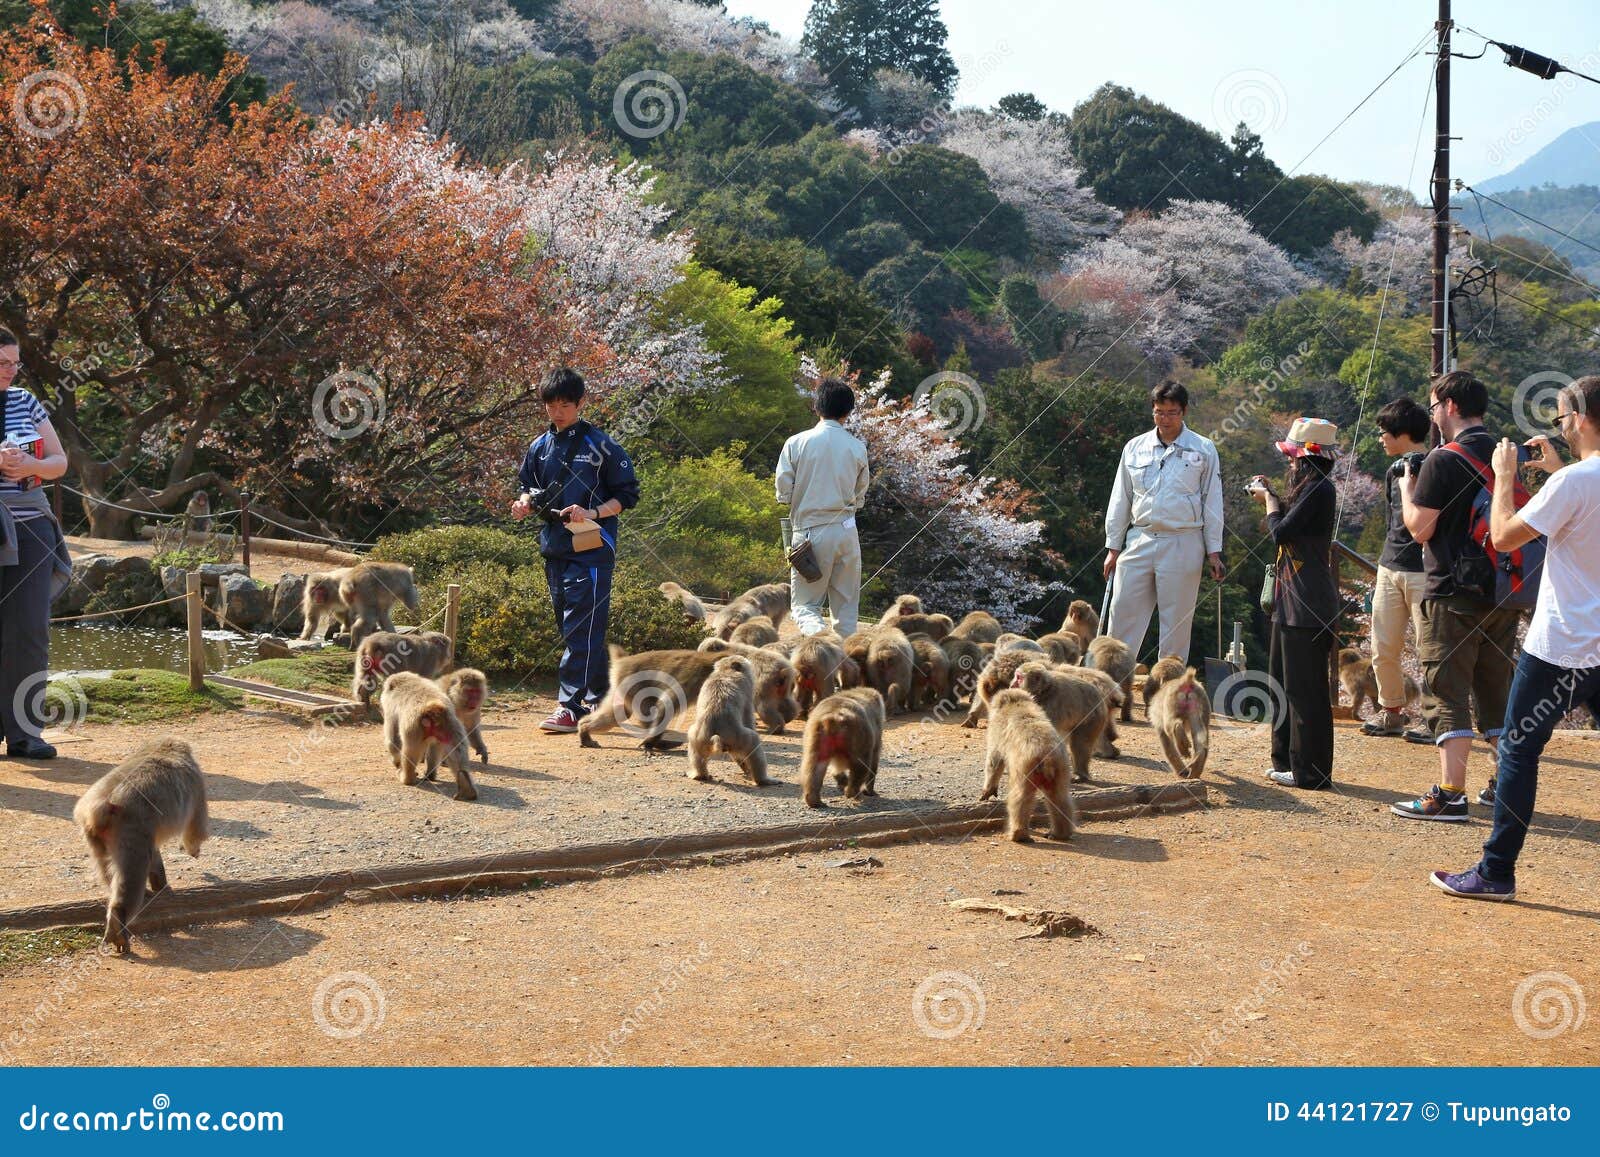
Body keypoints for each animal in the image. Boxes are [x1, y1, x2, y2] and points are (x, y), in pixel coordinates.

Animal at [74, 736, 209, 953]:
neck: (163, 749)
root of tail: (101, 806)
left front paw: (160, 885)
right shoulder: (197, 783)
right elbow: (195, 828)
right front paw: (194, 850)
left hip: (95, 836)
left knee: (108, 868)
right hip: (131, 828)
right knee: (133, 872)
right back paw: (119, 924)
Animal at [579, 652, 723, 752]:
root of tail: (622, 661)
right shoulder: (694, 678)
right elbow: (667, 704)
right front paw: (650, 741)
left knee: (618, 714)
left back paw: (584, 728)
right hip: (632, 685)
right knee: (645, 709)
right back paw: (657, 742)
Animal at [972, 688, 1075, 844]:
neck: (1016, 703)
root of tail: (1047, 757)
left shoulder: (996, 730)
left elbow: (994, 761)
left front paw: (987, 791)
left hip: (1026, 768)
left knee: (1020, 798)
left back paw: (1018, 835)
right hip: (1061, 766)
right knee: (1059, 797)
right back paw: (1060, 834)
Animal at [1011, 659, 1126, 787]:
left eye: (1019, 678)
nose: (1012, 685)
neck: (1045, 690)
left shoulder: (1050, 706)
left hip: (1093, 718)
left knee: (1080, 744)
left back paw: (1082, 773)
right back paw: (1111, 752)